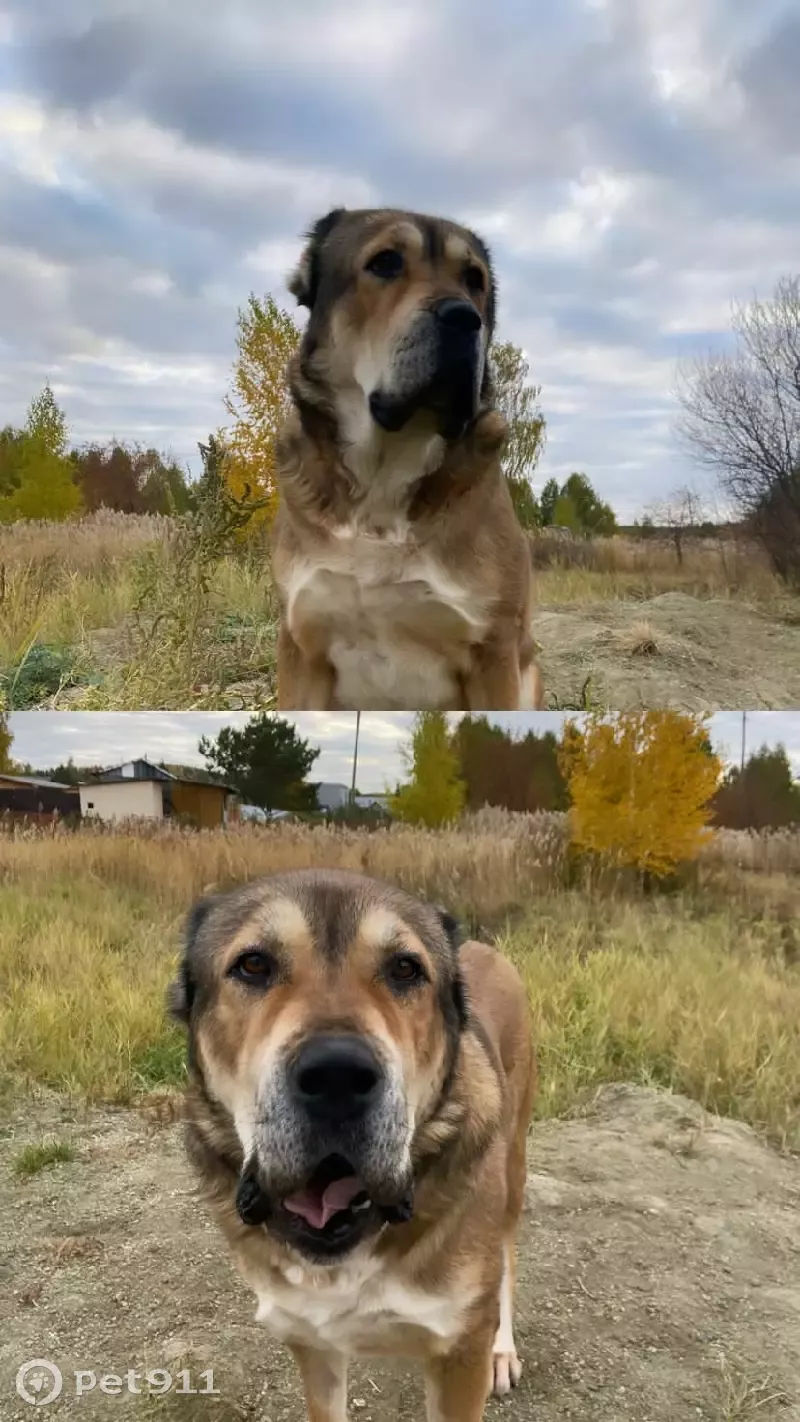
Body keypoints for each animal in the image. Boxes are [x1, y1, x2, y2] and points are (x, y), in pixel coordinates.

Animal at [171, 864, 542, 1422]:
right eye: (253, 964)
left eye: (405, 969)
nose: (337, 1077)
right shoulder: (312, 1343)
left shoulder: (460, 1354)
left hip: (513, 1172)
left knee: (508, 1258)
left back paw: (505, 1349)